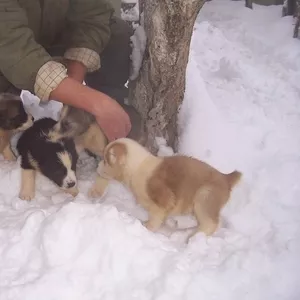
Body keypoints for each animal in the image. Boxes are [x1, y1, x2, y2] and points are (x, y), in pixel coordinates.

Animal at [88, 138, 241, 239]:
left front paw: (147, 228)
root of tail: (226, 178)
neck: (137, 167)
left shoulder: (163, 201)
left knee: (211, 223)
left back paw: (193, 238)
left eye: (105, 160)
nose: (97, 167)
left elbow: (155, 219)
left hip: (204, 197)